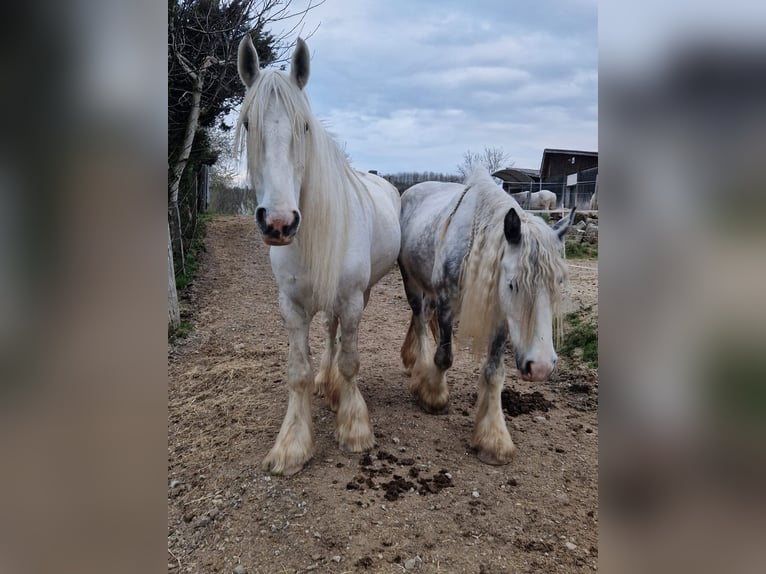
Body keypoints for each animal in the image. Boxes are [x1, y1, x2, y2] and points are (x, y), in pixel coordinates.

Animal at [236, 36, 401, 475]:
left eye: (305, 127)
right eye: (248, 123)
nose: (278, 222)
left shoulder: (353, 300)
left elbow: (351, 361)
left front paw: (354, 427)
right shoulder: (291, 306)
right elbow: (298, 371)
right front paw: (292, 444)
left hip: (363, 294)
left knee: (337, 335)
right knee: (329, 332)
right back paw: (327, 385)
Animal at [398, 168, 575, 464]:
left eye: (559, 282)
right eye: (513, 284)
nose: (540, 367)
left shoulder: (500, 318)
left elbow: (494, 372)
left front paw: (493, 439)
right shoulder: (446, 303)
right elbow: (444, 357)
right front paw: (433, 396)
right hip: (411, 281)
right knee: (421, 321)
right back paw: (420, 367)